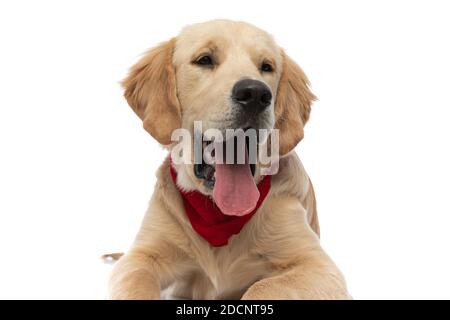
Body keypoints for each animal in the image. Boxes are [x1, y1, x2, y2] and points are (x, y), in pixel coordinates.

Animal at [107, 20, 350, 300]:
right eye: (204, 60)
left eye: (266, 66)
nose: (255, 93)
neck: (217, 215)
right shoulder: (141, 256)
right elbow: (135, 279)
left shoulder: (319, 266)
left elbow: (262, 287)